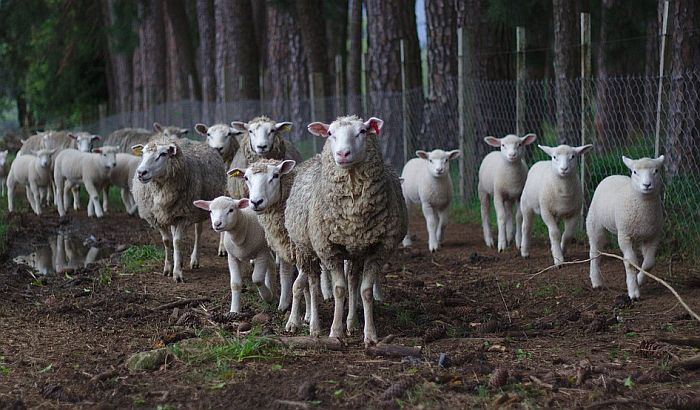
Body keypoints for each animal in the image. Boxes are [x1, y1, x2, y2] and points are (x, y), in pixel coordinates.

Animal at [131, 138, 224, 282]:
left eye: (163, 154)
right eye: (142, 153)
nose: (141, 173)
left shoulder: (184, 215)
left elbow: (177, 241)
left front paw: (177, 273)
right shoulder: (158, 217)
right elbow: (167, 241)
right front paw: (168, 268)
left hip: (198, 209)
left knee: (198, 232)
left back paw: (194, 260)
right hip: (172, 214)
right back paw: (178, 260)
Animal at [284, 116, 408, 346]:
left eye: (362, 131)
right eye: (330, 133)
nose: (342, 154)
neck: (354, 214)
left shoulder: (378, 249)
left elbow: (365, 291)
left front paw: (370, 334)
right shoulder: (329, 249)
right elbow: (338, 289)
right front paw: (335, 331)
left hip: (355, 252)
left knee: (352, 281)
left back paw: (351, 323)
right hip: (307, 248)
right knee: (312, 284)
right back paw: (313, 326)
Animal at [584, 155, 668, 300]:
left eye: (656, 171)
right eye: (634, 172)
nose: (647, 185)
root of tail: (611, 176)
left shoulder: (653, 235)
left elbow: (649, 263)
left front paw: (639, 280)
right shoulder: (624, 235)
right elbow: (630, 262)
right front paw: (633, 292)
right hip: (595, 223)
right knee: (595, 251)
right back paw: (596, 281)